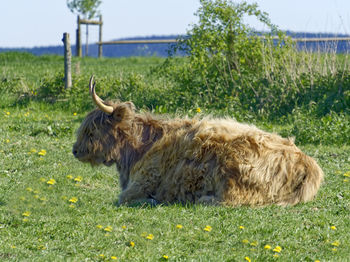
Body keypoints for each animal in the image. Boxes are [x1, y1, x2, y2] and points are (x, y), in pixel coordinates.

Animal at [72, 76, 324, 207]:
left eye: (92, 130)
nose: (75, 150)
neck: (139, 149)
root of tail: (307, 161)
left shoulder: (140, 184)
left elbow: (122, 198)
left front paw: (153, 200)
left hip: (234, 175)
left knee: (231, 200)